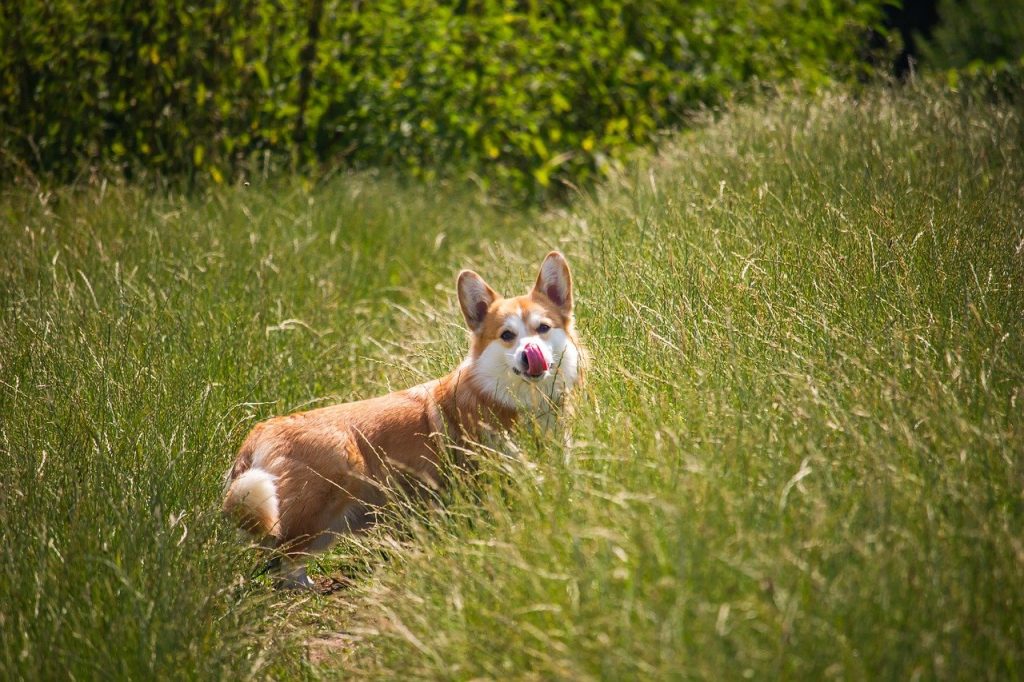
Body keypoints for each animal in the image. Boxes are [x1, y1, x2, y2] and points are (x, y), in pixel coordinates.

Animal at [222, 249, 585, 585]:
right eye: (507, 335)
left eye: (543, 328)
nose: (529, 354)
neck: (519, 401)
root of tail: (256, 436)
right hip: (335, 468)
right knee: (285, 558)